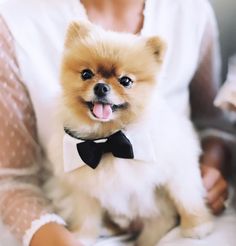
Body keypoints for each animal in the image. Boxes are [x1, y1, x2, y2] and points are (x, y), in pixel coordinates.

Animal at [46, 21, 214, 246]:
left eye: (125, 81)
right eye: (86, 74)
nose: (101, 87)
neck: (106, 140)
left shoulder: (177, 167)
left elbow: (185, 197)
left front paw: (197, 226)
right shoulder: (83, 185)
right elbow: (86, 213)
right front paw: (82, 236)